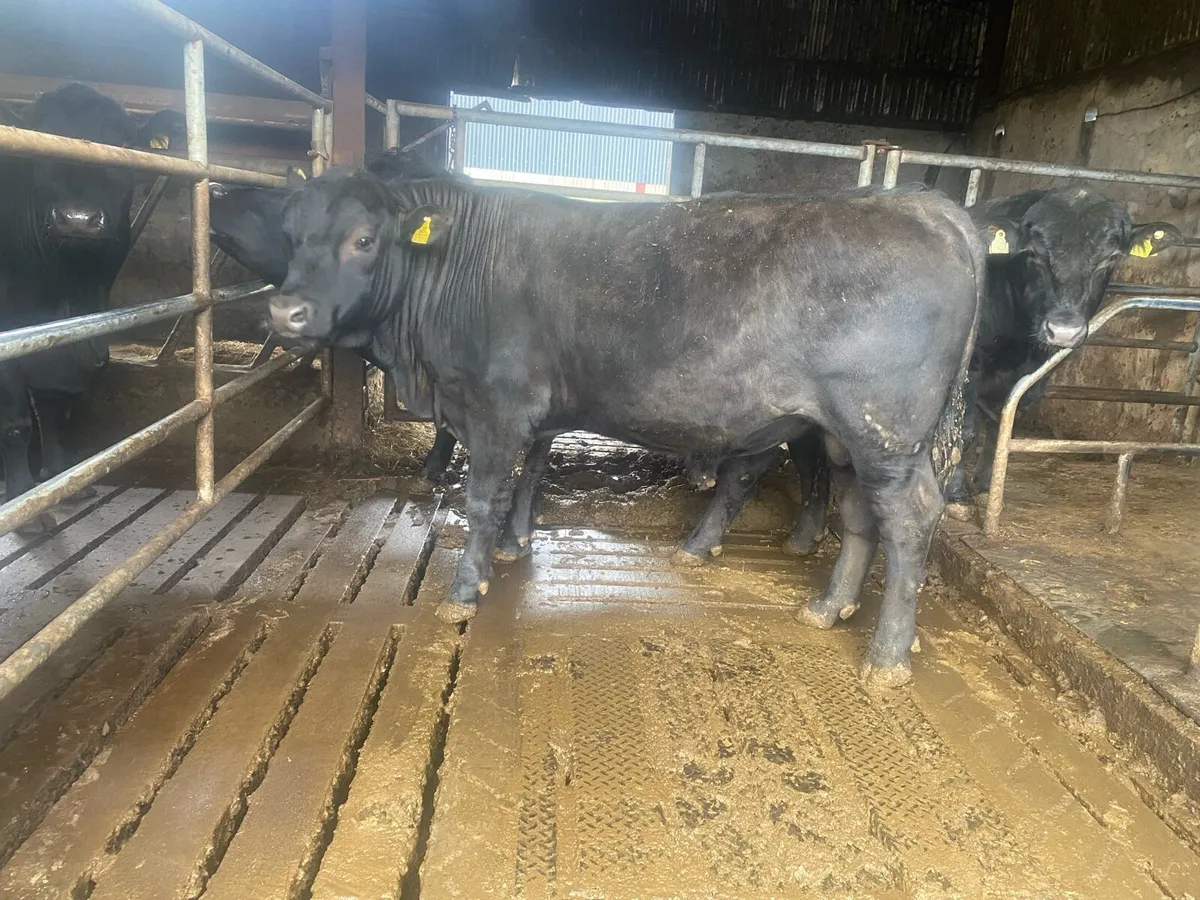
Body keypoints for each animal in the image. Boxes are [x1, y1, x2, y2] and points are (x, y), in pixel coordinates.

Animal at [0, 84, 180, 528]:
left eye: (123, 145)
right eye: (39, 142)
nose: (78, 219)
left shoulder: (73, 339)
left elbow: (54, 408)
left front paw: (60, 480)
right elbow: (15, 423)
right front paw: (25, 505)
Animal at [267, 166, 984, 687]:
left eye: (363, 238)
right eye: (291, 235)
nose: (285, 310)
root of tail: (927, 207)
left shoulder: (496, 409)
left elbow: (482, 499)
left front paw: (466, 588)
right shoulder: (538, 414)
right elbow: (532, 477)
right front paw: (516, 544)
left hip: (885, 431)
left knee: (910, 518)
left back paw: (886, 656)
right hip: (846, 437)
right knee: (861, 514)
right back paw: (827, 607)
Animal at [674, 186, 1181, 561]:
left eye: (1110, 258)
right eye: (1035, 254)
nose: (1065, 328)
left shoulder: (1036, 374)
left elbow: (1004, 422)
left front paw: (985, 487)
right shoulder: (970, 372)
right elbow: (970, 429)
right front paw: (959, 496)